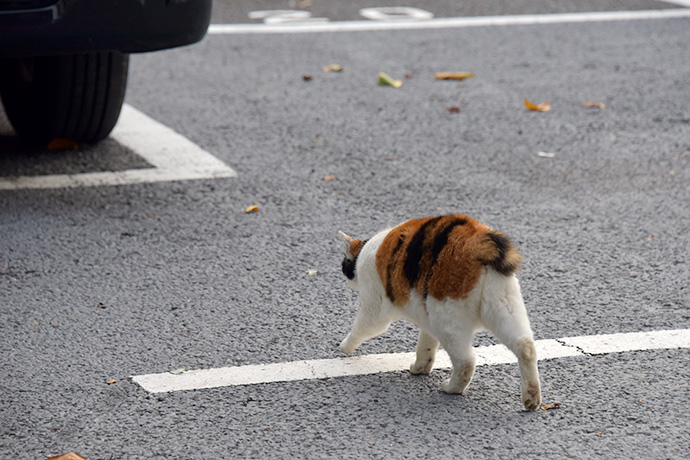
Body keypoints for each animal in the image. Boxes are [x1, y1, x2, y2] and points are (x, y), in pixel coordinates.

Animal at [336, 214, 540, 412]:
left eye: (344, 264)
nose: (345, 280)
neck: (365, 250)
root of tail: (478, 242)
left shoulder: (375, 306)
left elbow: (364, 327)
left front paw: (344, 347)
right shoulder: (426, 317)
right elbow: (426, 345)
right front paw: (420, 367)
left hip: (446, 317)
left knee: (466, 361)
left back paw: (452, 388)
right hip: (503, 306)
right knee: (526, 347)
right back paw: (531, 398)